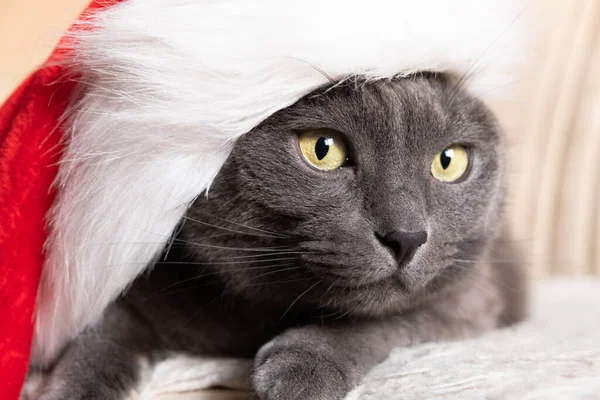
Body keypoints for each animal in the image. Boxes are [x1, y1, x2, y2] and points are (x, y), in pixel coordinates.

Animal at [28, 76, 524, 400]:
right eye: (322, 149)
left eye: (449, 161)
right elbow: (101, 333)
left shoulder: (468, 301)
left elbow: (389, 320)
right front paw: (75, 387)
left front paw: (302, 367)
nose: (406, 235)